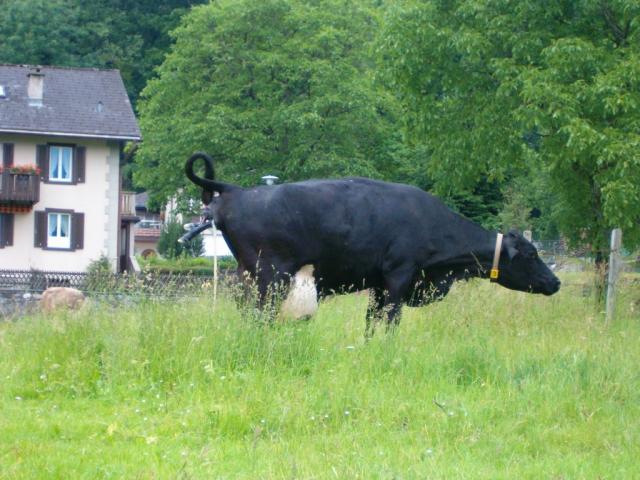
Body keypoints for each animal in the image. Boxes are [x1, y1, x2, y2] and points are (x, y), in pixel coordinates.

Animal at [185, 154, 560, 334]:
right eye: (531, 254)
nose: (555, 282)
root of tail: (236, 190)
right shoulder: (399, 276)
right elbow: (391, 321)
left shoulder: (378, 285)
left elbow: (371, 322)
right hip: (269, 277)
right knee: (258, 316)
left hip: (247, 277)